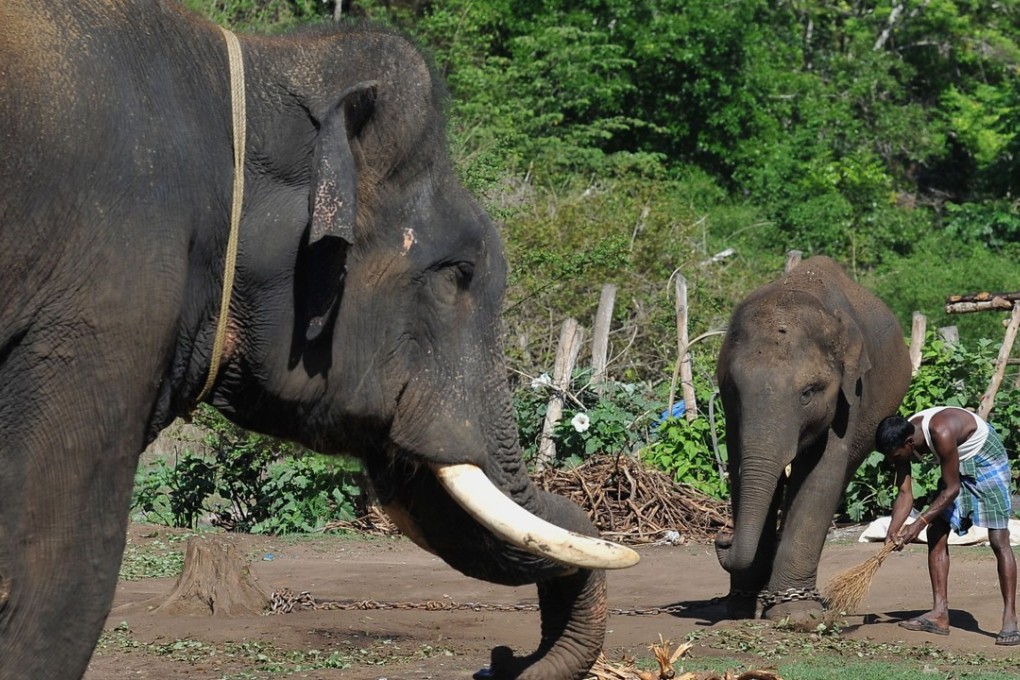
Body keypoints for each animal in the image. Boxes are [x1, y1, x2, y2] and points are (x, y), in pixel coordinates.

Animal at [713, 256, 910, 624]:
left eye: (807, 393)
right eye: (734, 388)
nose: (723, 535)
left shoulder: (851, 393)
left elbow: (822, 473)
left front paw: (796, 614)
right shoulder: (732, 412)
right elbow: (741, 468)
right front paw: (743, 609)